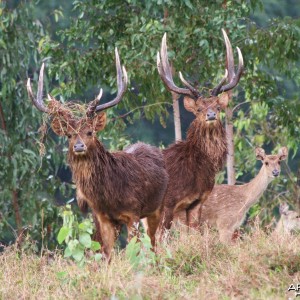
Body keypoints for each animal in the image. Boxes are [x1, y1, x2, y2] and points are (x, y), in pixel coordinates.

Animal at [27, 49, 169, 260]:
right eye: (69, 135)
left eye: (90, 132)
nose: (79, 146)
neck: (111, 195)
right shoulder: (102, 217)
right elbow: (105, 255)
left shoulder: (133, 212)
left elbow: (132, 253)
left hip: (159, 207)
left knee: (154, 243)